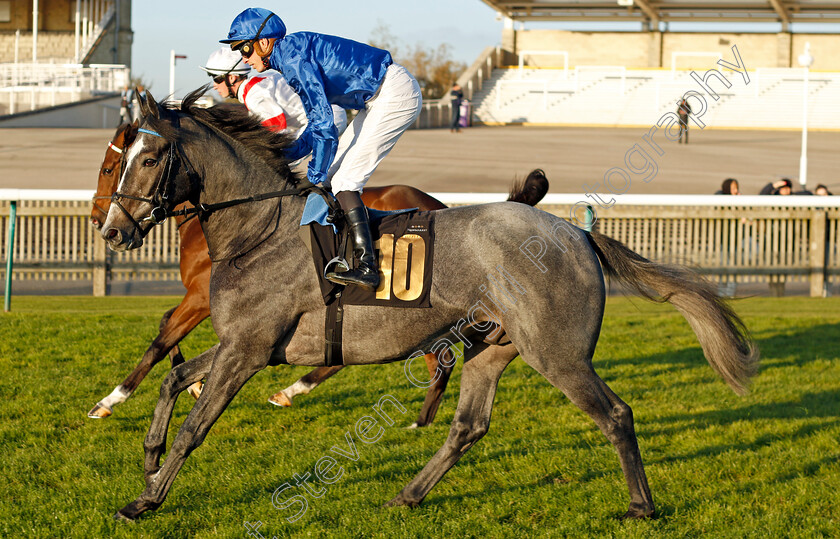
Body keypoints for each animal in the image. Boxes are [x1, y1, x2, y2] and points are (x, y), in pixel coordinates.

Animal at [85, 120, 548, 424]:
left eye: (115, 167)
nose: (106, 227)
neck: (254, 218)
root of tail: (437, 204)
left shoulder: (201, 298)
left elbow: (162, 337)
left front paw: (110, 399)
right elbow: (168, 329)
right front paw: (192, 383)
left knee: (432, 355)